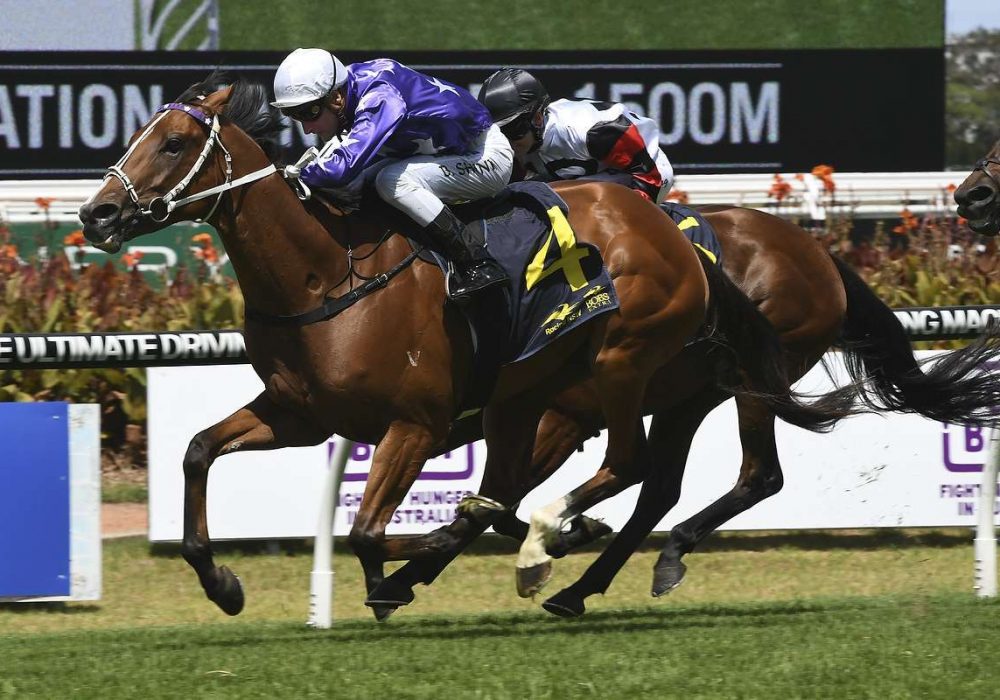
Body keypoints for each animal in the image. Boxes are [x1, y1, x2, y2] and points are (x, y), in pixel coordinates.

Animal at [77, 74, 850, 620]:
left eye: (173, 143)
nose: (97, 213)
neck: (324, 272)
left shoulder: (415, 424)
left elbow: (369, 530)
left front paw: (438, 558)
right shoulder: (302, 414)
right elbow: (198, 450)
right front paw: (224, 583)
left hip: (633, 367)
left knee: (650, 467)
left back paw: (551, 550)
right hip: (549, 394)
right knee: (596, 481)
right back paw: (561, 561)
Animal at [369, 205, 1000, 618]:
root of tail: (817, 251)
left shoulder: (559, 416)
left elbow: (497, 502)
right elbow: (493, 503)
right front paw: (406, 575)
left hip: (741, 380)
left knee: (752, 475)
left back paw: (631, 565)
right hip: (690, 393)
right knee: (663, 488)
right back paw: (592, 583)